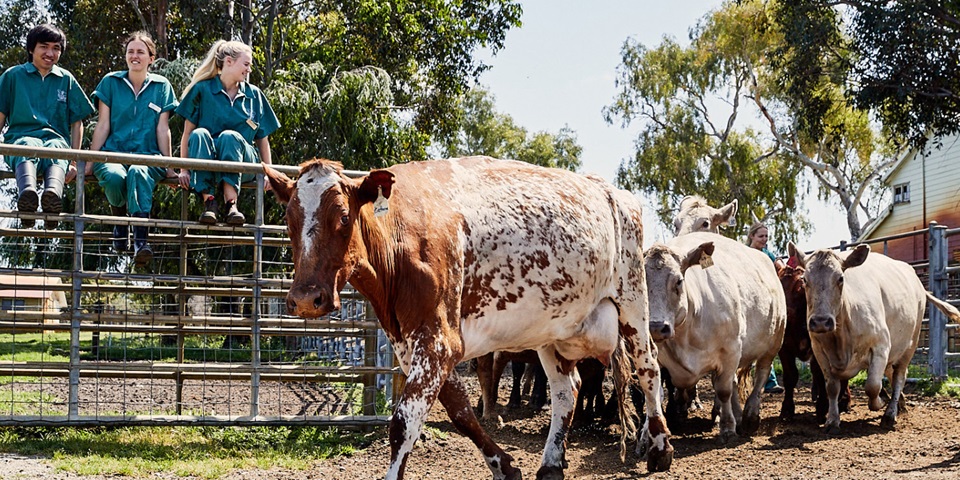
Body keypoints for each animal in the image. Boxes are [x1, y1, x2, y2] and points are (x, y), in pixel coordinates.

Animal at [258, 157, 672, 476]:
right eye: (290, 218)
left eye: (344, 217)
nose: (306, 298)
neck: (403, 235)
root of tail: (614, 193)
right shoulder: (414, 345)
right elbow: (461, 412)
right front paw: (505, 466)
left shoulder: (438, 342)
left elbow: (404, 423)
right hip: (551, 329)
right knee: (565, 391)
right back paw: (551, 463)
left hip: (632, 301)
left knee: (648, 368)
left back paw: (659, 446)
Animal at [644, 232, 788, 442]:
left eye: (678, 281)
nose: (655, 327)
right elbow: (655, 393)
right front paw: (648, 435)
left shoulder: (730, 350)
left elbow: (724, 391)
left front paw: (727, 428)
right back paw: (738, 416)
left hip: (773, 344)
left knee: (761, 374)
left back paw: (750, 416)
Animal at [788, 242, 960, 434]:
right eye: (804, 279)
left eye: (840, 278)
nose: (820, 322)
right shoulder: (820, 352)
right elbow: (832, 387)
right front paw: (832, 420)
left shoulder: (881, 346)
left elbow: (872, 386)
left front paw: (880, 402)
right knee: (891, 373)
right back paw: (900, 404)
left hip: (909, 345)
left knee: (899, 376)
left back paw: (890, 414)